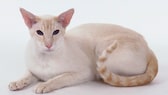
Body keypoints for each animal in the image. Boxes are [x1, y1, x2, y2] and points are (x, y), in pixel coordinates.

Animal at [8, 7, 158, 93]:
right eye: (39, 33)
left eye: (56, 32)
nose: (48, 45)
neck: (46, 59)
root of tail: (149, 48)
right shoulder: (33, 70)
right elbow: (27, 74)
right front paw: (17, 83)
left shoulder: (83, 73)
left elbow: (59, 78)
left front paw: (44, 85)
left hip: (101, 50)